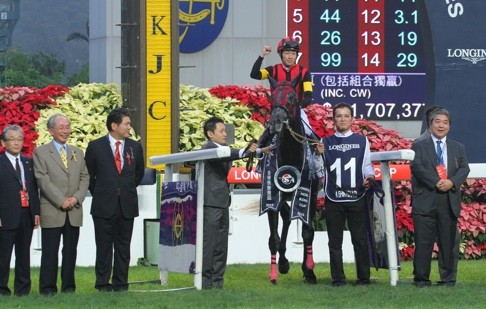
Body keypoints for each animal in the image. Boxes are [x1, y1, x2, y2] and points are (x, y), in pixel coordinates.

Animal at [258, 75, 318, 284]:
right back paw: (283, 262)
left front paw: (310, 272)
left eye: (292, 97)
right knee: (285, 217)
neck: (291, 152)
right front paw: (275, 272)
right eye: (272, 96)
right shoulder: (271, 194)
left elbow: (308, 232)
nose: (275, 121)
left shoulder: (310, 194)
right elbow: (273, 237)